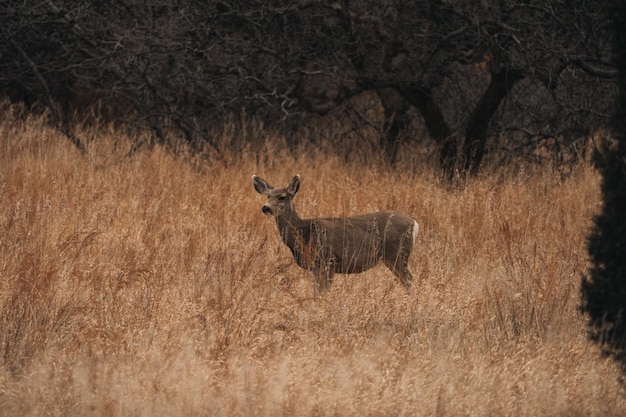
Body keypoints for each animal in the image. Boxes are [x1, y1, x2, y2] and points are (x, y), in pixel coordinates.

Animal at [251, 174, 416, 294]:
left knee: (410, 280)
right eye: (268, 196)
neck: (304, 232)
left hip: (397, 253)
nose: (265, 208)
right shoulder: (316, 266)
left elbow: (324, 292)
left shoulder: (328, 260)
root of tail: (414, 223)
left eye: (282, 197)